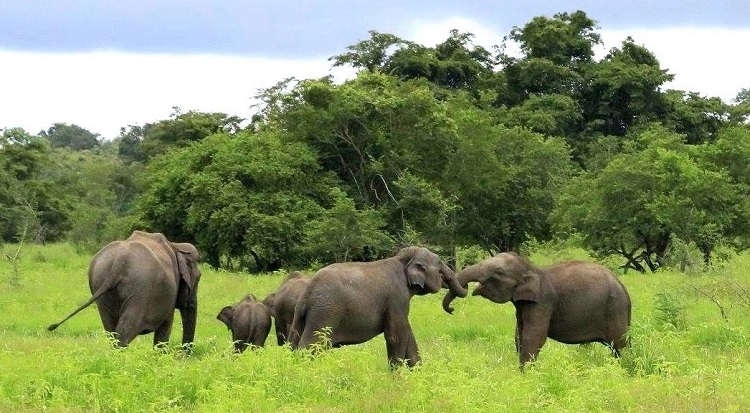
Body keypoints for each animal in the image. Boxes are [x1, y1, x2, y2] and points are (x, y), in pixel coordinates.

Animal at [49, 230, 203, 346]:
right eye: (198, 278)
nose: (183, 356)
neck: (175, 245)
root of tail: (119, 260)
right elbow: (165, 328)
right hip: (140, 290)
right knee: (125, 330)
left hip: (99, 285)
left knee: (110, 329)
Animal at [290, 245, 468, 366]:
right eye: (440, 265)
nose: (452, 309)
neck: (402, 260)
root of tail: (307, 293)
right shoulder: (396, 298)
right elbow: (396, 335)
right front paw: (398, 378)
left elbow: (408, 333)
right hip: (325, 312)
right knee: (309, 345)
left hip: (301, 316)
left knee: (293, 342)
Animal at [444, 251, 632, 370]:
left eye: (498, 272)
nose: (452, 309)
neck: (532, 268)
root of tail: (624, 290)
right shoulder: (522, 304)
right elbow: (519, 336)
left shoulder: (542, 302)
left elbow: (533, 336)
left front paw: (525, 376)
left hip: (615, 310)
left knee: (620, 344)